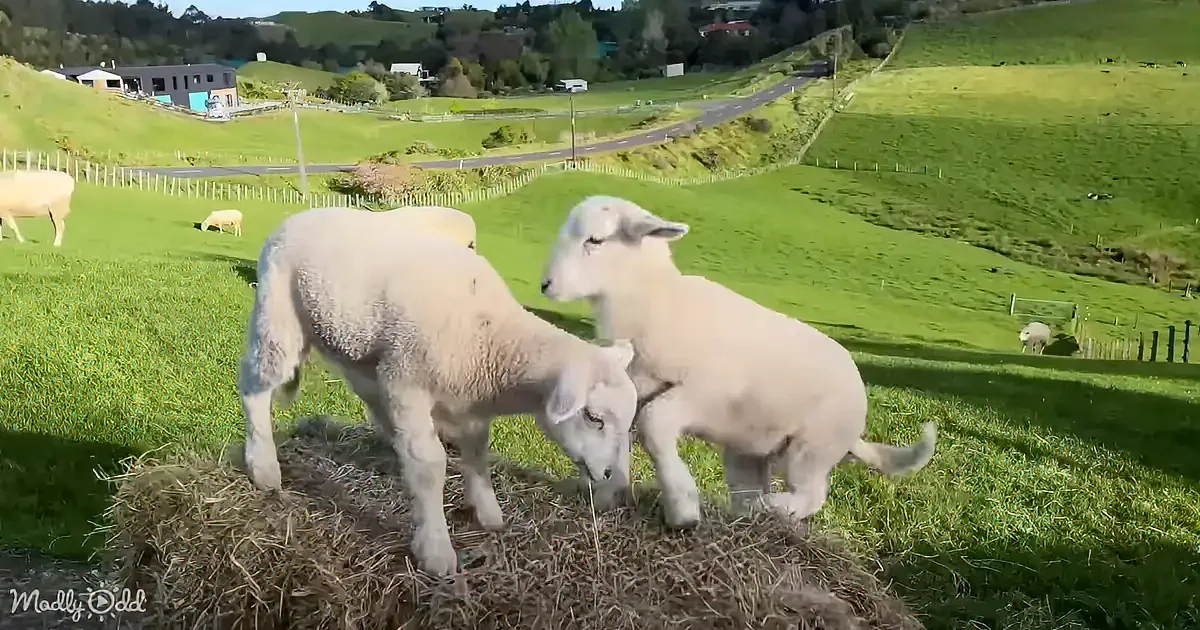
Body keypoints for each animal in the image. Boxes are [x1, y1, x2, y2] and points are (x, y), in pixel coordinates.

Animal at [238, 205, 639, 576]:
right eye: (593, 417)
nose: (610, 477)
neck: (494, 341)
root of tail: (297, 216)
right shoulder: (405, 381)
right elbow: (430, 466)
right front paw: (435, 549)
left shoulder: (469, 403)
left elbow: (477, 452)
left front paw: (488, 511)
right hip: (278, 320)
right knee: (255, 386)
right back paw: (264, 467)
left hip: (359, 351)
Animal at [539, 195, 937, 529]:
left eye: (595, 240)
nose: (546, 285)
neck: (657, 300)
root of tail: (857, 425)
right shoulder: (639, 386)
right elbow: (623, 433)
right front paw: (611, 493)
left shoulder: (706, 391)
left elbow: (654, 424)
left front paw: (683, 506)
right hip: (750, 449)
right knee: (752, 491)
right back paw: (751, 514)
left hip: (812, 446)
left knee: (811, 495)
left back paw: (774, 508)